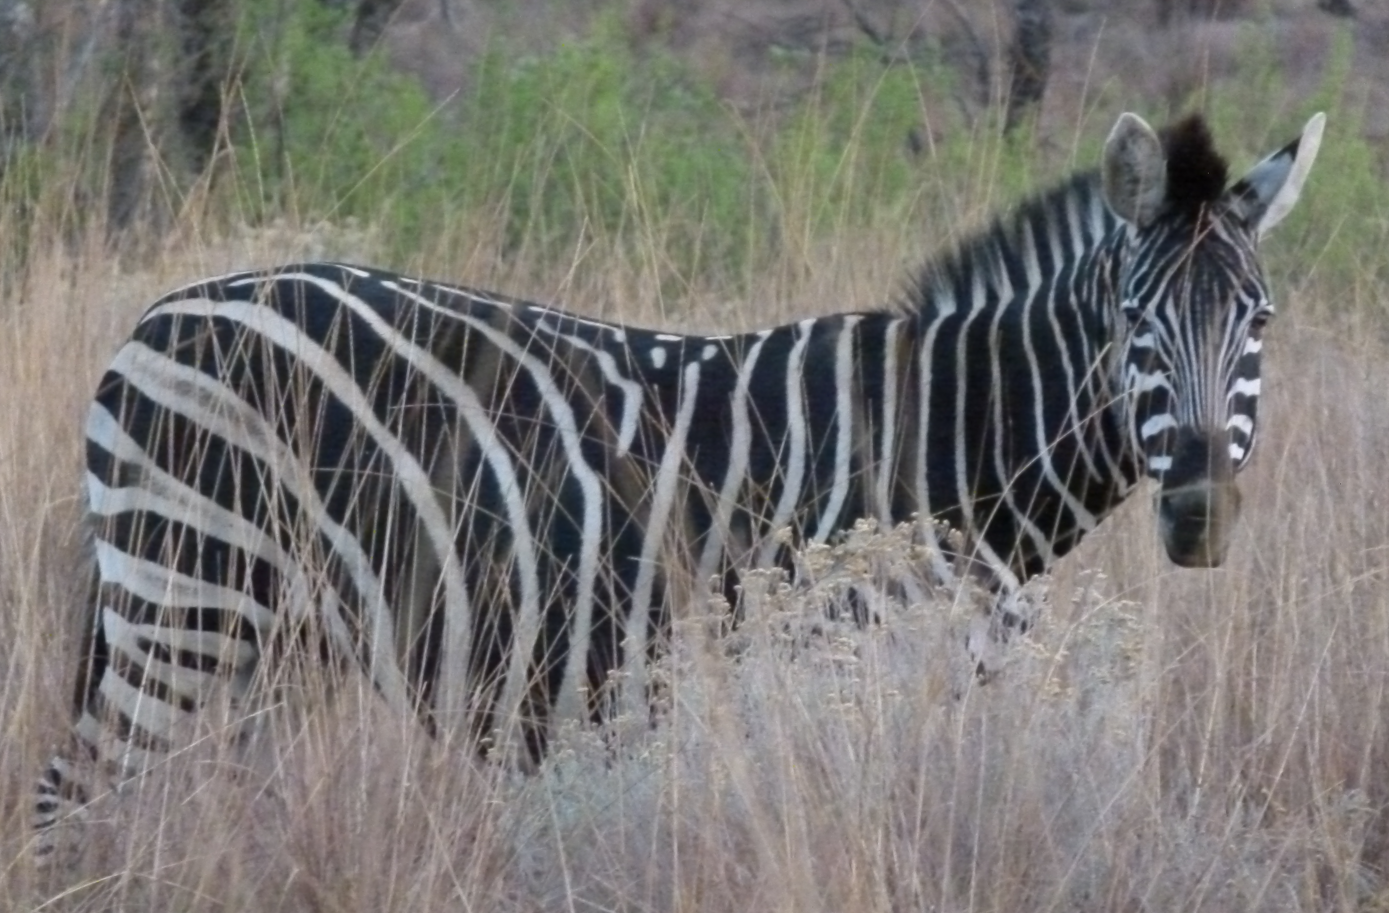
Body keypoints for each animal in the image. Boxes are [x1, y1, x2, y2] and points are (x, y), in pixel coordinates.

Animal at [34, 110, 1323, 858]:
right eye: (1133, 322)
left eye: (1258, 321)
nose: (1200, 515)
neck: (944, 445)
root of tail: (162, 312)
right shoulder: (833, 674)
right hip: (187, 599)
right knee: (71, 802)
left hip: (257, 633)